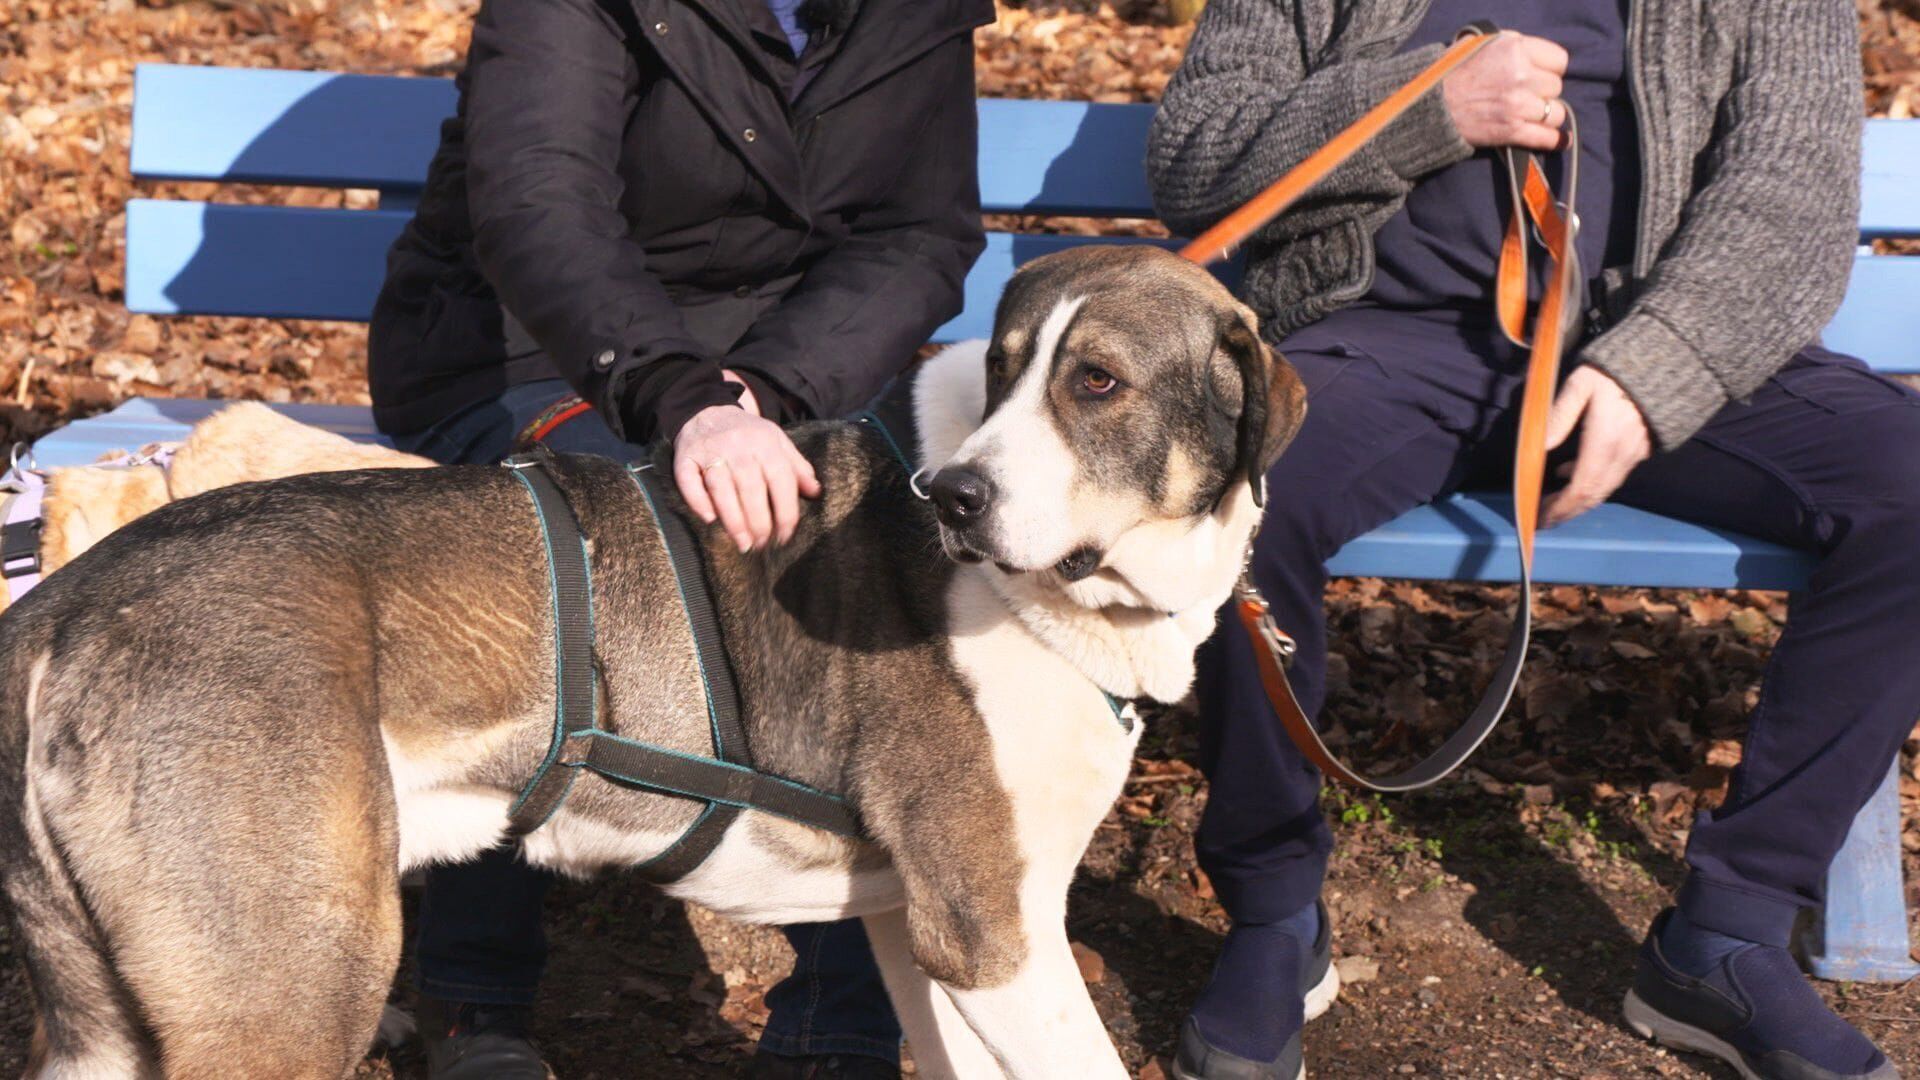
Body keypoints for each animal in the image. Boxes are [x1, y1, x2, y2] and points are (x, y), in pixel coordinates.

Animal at [0, 245, 1305, 1076]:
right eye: (1004, 371)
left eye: (1097, 382)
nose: (955, 499)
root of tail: (68, 604)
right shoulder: (992, 935)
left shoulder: (920, 931)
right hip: (288, 997)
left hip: (106, 1028)